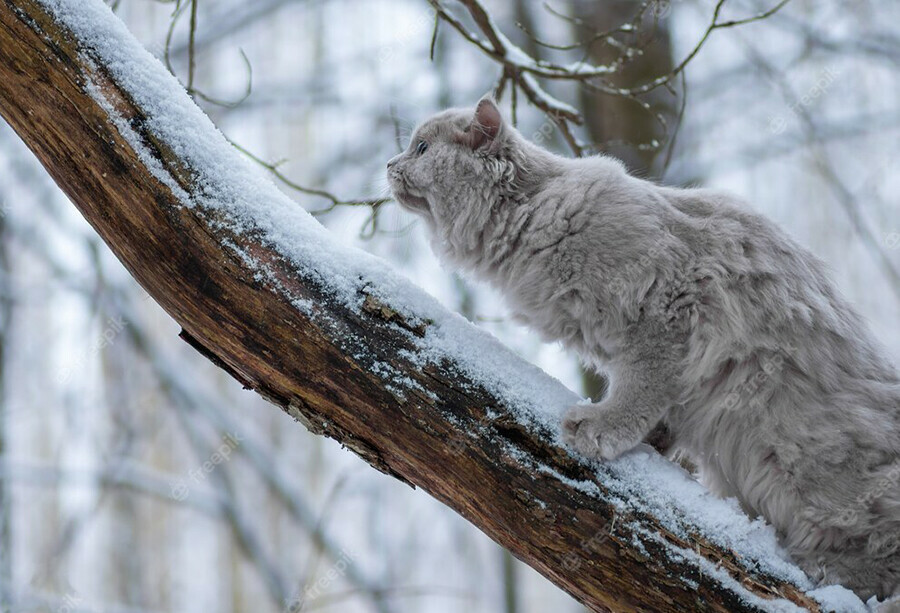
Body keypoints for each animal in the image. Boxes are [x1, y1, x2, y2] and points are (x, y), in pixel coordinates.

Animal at [386, 98, 900, 600]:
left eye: (422, 148)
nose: (390, 164)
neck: (534, 214)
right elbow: (658, 408)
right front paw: (652, 439)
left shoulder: (666, 312)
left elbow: (641, 389)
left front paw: (601, 428)